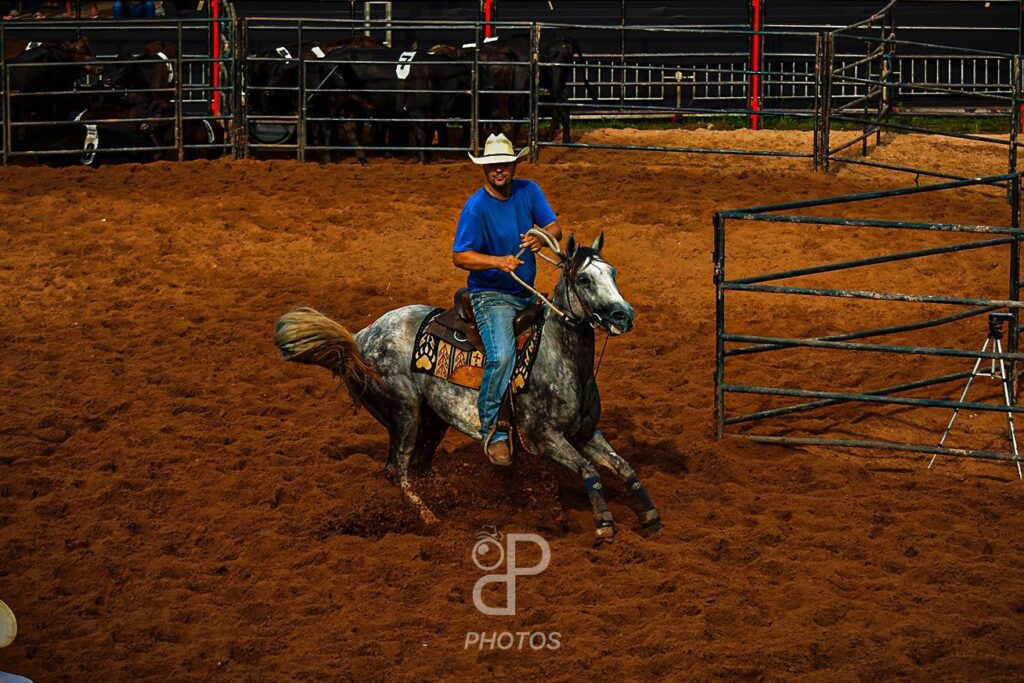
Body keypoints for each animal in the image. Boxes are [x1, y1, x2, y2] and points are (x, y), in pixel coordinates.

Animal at [274, 235, 655, 544]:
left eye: (613, 273)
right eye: (584, 278)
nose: (623, 315)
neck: (557, 354)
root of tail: (361, 338)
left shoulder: (586, 433)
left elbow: (624, 467)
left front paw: (650, 516)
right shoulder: (544, 437)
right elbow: (590, 471)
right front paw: (604, 524)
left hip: (432, 422)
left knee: (415, 468)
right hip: (405, 414)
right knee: (397, 470)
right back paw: (429, 518)